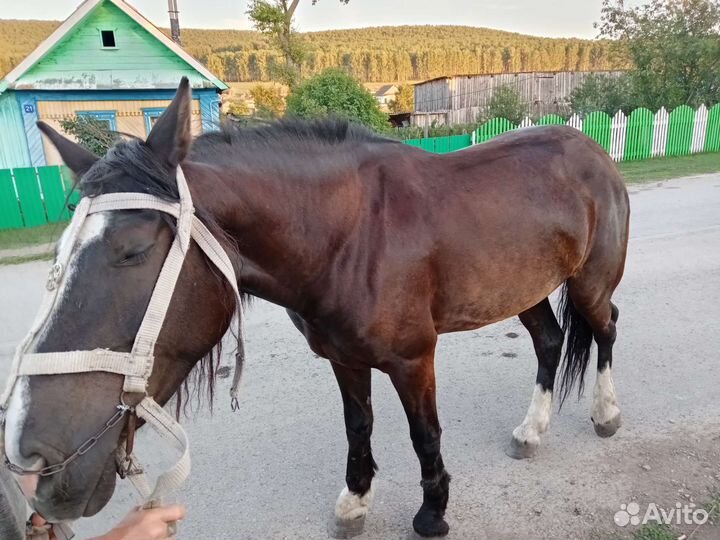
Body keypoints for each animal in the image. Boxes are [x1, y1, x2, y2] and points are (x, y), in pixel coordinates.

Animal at [2, 79, 629, 538]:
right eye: (59, 254)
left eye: (132, 250)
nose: (31, 458)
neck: (350, 235)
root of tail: (593, 150)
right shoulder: (344, 358)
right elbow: (358, 426)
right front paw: (355, 502)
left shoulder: (413, 359)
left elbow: (423, 433)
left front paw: (433, 513)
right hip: (524, 291)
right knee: (549, 342)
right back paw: (532, 430)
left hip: (590, 285)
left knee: (604, 331)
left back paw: (605, 413)